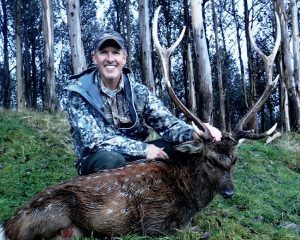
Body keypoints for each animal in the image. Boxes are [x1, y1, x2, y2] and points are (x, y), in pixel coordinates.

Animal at [0, 7, 282, 240]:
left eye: (234, 160)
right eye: (210, 159)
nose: (229, 192)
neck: (189, 195)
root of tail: (9, 225)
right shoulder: (155, 221)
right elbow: (196, 230)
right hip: (55, 215)